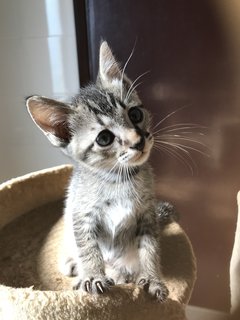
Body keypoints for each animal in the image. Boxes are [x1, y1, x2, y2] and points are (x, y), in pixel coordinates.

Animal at [26, 41, 169, 302]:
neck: (119, 180)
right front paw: (92, 275)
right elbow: (88, 248)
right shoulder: (82, 215)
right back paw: (75, 264)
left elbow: (150, 249)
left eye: (135, 114)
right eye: (104, 138)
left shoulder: (147, 215)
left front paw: (153, 278)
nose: (138, 141)